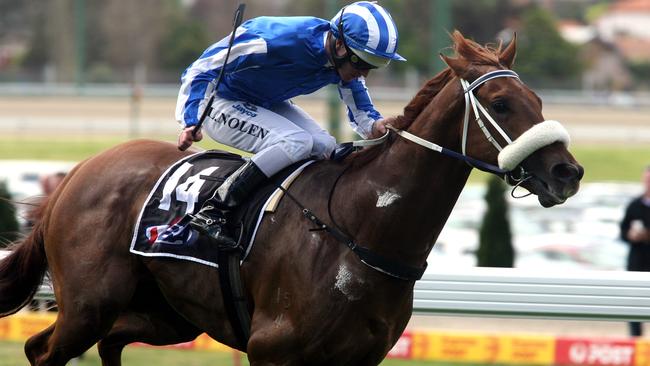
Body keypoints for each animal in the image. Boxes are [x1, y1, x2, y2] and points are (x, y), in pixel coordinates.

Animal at [0, 32, 580, 366]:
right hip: (89, 304)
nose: (567, 172)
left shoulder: (360, 358)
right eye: (501, 103)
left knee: (112, 342)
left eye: (537, 99)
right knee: (42, 349)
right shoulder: (273, 350)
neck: (360, 230)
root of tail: (79, 171)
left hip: (166, 314)